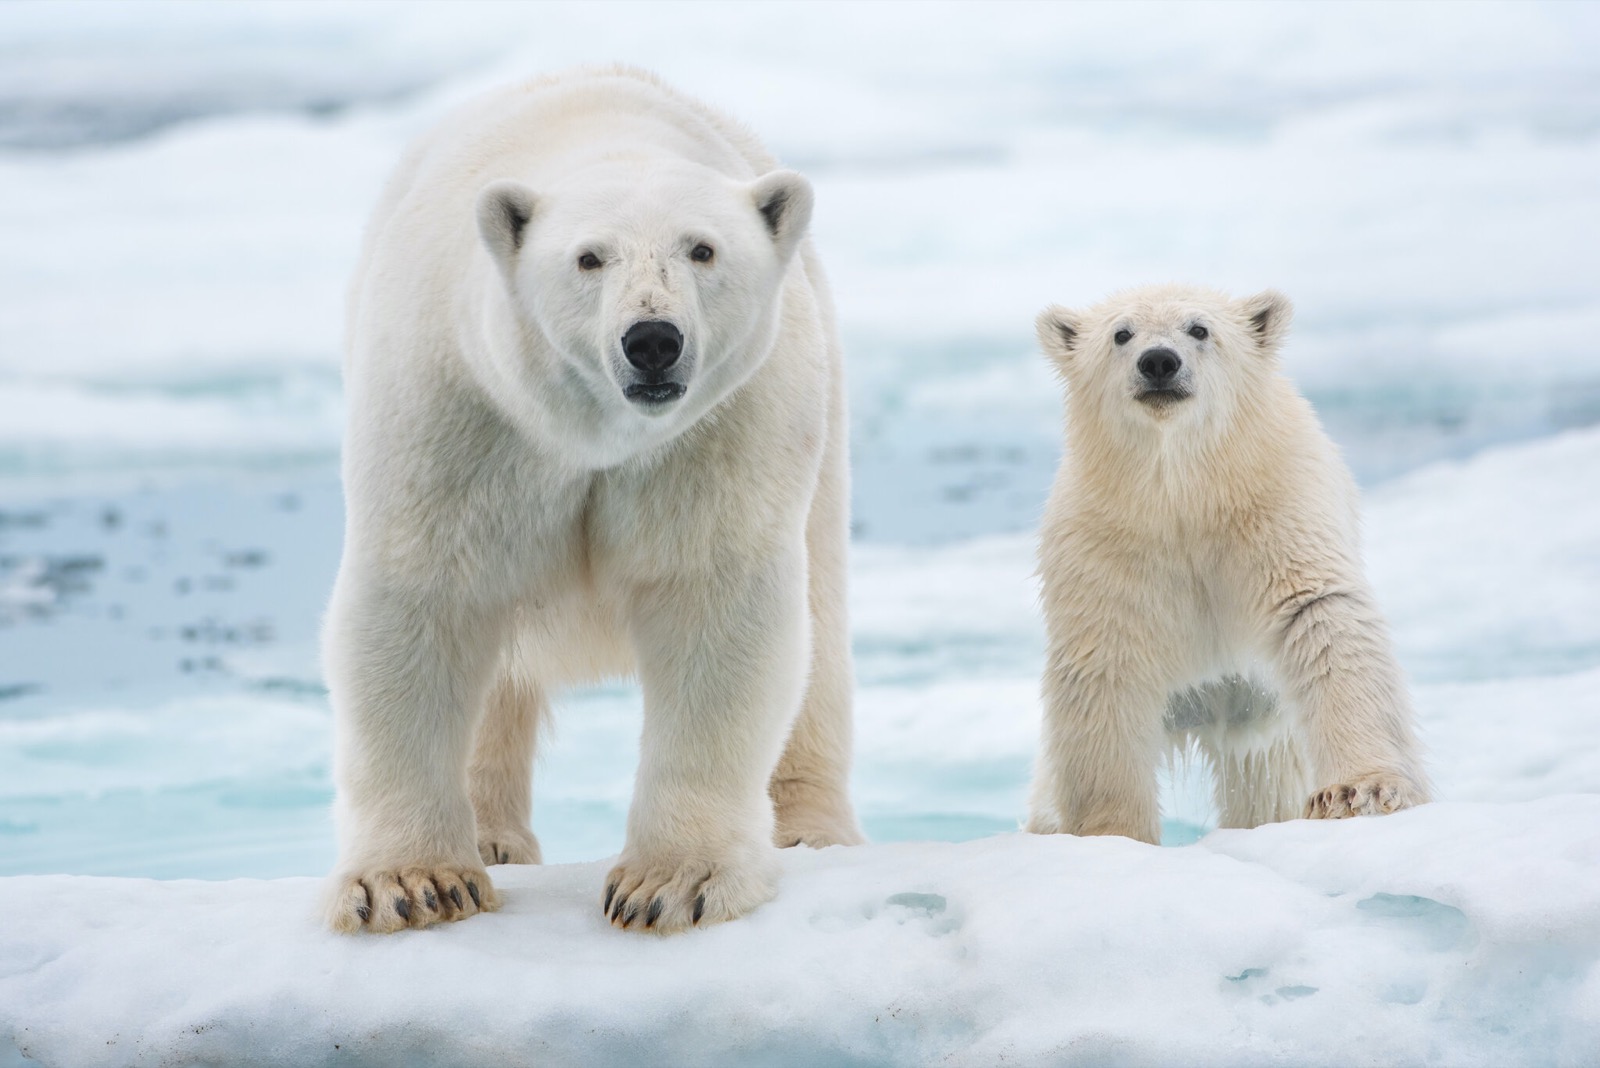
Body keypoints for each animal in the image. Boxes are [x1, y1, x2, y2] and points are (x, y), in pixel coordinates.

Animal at [322, 66, 864, 935]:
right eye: (588, 258)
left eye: (701, 248)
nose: (652, 340)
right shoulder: (462, 410)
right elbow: (422, 599)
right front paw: (411, 885)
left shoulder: (721, 430)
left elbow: (716, 608)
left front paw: (669, 884)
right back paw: (494, 839)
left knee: (818, 621)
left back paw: (811, 830)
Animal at [1024, 284, 1430, 843]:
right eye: (1121, 334)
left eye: (1200, 328)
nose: (1159, 361)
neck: (1188, 494)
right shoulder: (1104, 542)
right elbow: (1105, 668)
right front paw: (1112, 832)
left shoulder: (1277, 511)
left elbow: (1319, 616)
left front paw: (1358, 791)